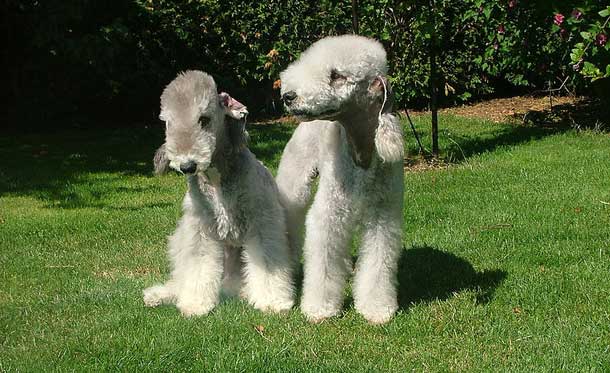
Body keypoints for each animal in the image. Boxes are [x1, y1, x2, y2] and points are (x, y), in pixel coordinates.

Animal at [143, 70, 294, 314]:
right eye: (167, 123)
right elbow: (197, 266)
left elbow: (267, 261)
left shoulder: (262, 222)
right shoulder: (200, 228)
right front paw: (195, 303)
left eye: (203, 119)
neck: (217, 178)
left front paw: (272, 301)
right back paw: (160, 294)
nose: (187, 166)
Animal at [276, 36, 404, 324]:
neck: (361, 153)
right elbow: (323, 260)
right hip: (295, 182)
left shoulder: (383, 215)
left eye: (336, 75)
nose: (288, 96)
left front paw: (377, 308)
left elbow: (378, 261)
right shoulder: (329, 212)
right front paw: (319, 309)